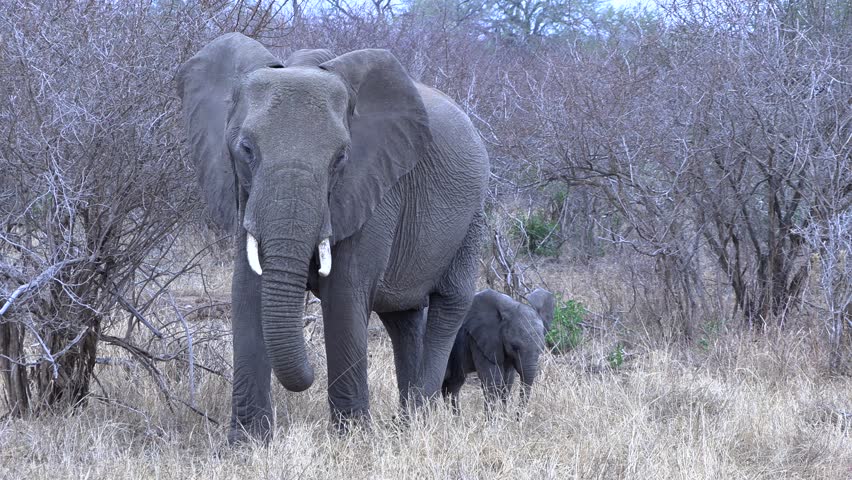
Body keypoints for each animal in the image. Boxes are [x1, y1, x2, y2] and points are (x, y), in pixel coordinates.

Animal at [177, 33, 489, 442]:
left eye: (340, 158)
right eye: (246, 150)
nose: (307, 376)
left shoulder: (373, 186)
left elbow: (344, 293)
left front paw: (352, 440)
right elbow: (247, 289)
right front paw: (246, 444)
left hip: (474, 215)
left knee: (450, 303)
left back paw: (416, 424)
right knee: (402, 319)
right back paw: (403, 425)